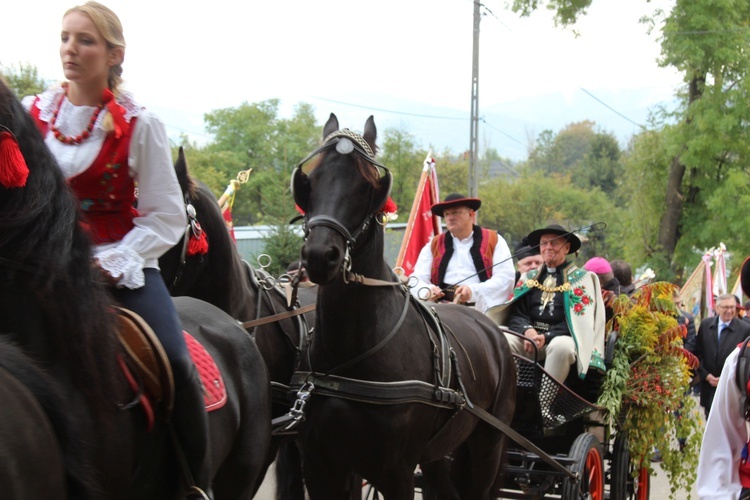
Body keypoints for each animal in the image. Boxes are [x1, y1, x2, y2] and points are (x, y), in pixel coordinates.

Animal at [292, 114, 516, 500]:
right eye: (312, 180)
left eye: (367, 186)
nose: (321, 256)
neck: (349, 359)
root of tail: (493, 332)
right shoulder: (320, 465)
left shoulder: (395, 471)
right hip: (438, 455)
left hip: (487, 444)